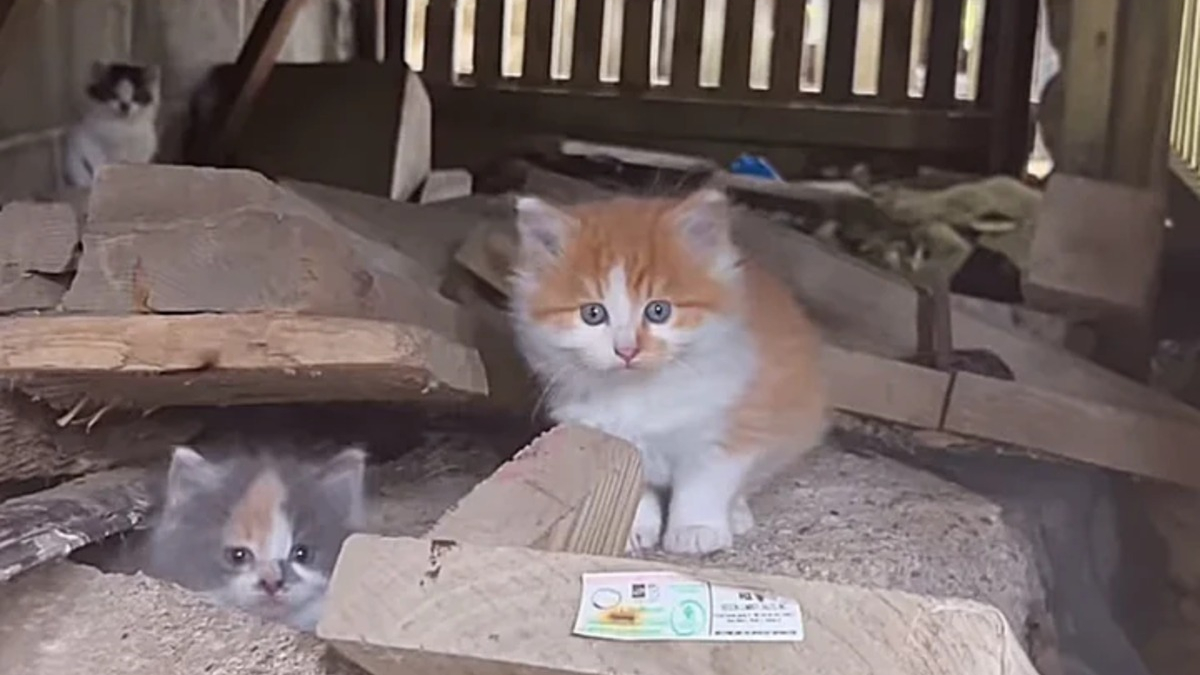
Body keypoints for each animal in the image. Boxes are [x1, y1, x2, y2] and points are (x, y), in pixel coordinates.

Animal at [506, 187, 825, 552]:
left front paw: (696, 529)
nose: (627, 350)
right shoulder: (608, 437)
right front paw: (632, 529)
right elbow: (632, 488)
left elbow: (706, 483)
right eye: (593, 314)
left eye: (658, 311)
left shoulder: (727, 422)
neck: (640, 393)